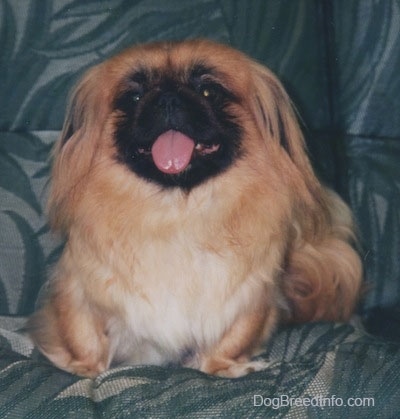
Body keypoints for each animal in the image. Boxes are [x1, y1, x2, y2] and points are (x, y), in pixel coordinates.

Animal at [26, 39, 360, 378]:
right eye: (133, 97)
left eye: (209, 91)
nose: (168, 98)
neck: (177, 213)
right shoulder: (77, 290)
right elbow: (84, 337)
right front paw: (84, 371)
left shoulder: (249, 297)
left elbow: (232, 339)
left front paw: (223, 368)